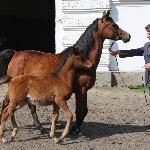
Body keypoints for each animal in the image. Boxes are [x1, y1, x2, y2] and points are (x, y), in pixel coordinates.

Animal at [0, 10, 131, 132]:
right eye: (113, 25)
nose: (127, 36)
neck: (82, 58)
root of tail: (15, 54)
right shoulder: (80, 90)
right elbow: (80, 111)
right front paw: (74, 129)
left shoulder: (84, 90)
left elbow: (84, 111)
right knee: (6, 104)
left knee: (27, 106)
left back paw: (39, 127)